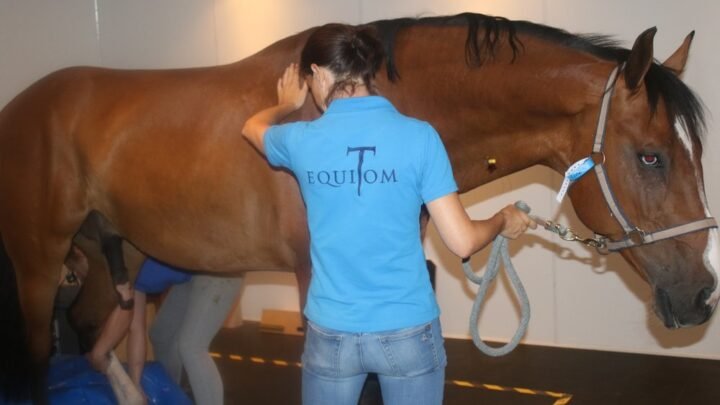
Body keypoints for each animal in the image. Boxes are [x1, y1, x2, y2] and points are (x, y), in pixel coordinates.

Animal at [1, 12, 717, 402]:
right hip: (39, 266)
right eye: (651, 156)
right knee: (37, 360)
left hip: (104, 265)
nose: (702, 296)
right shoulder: (316, 284)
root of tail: (22, 106)